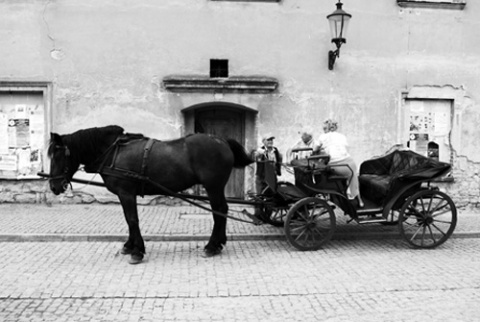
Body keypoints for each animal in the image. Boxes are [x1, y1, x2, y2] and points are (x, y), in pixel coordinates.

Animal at [47, 126, 253, 264]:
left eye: (58, 156)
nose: (53, 186)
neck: (113, 152)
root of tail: (222, 141)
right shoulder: (124, 195)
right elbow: (128, 220)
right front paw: (129, 246)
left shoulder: (126, 193)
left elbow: (132, 220)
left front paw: (137, 251)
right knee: (222, 210)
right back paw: (218, 243)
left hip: (213, 186)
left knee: (219, 211)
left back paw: (212, 246)